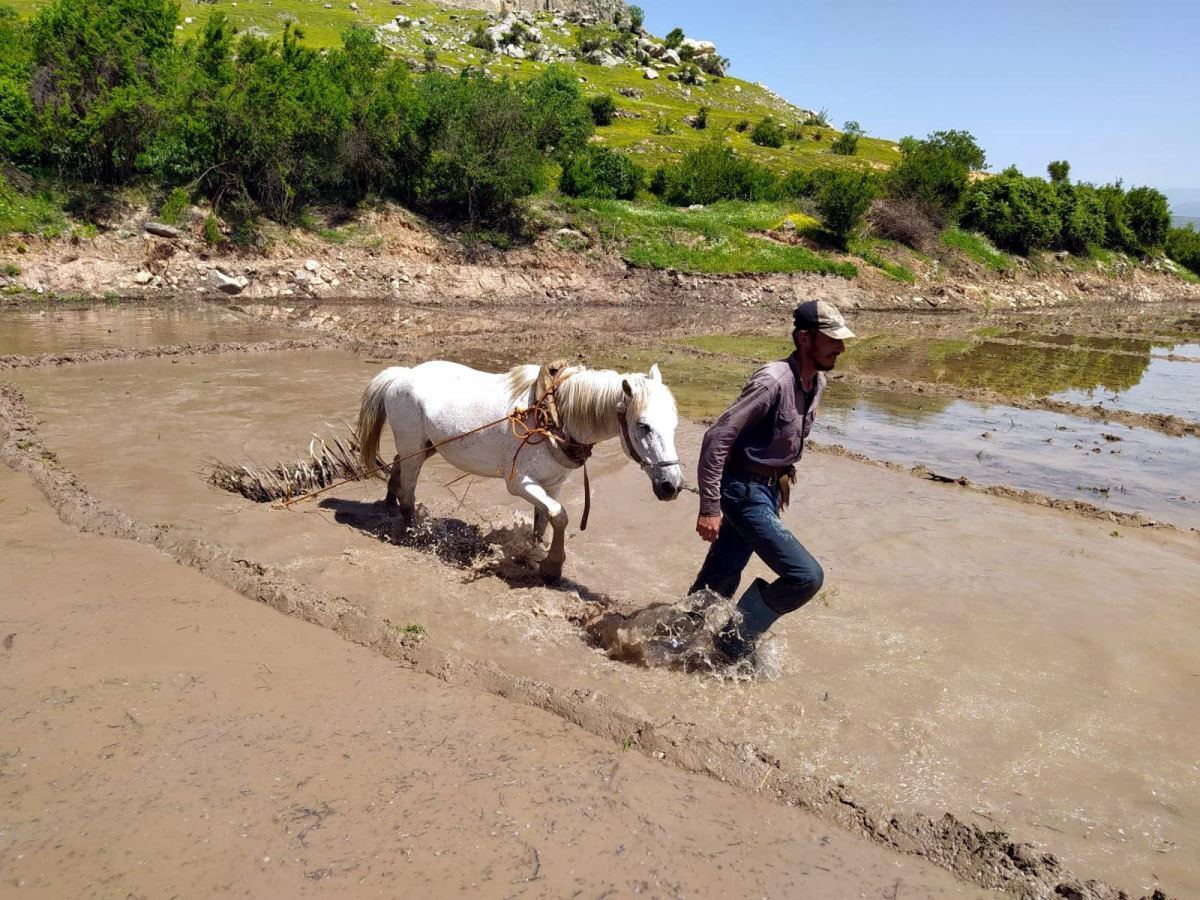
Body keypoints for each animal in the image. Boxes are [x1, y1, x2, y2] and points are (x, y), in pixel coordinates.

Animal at [352, 357, 686, 578]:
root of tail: (401, 376)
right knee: (408, 491)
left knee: (397, 470)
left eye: (674, 424)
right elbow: (560, 516)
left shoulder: (552, 484)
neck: (554, 416)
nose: (671, 485)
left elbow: (543, 522)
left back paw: (389, 504)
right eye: (643, 426)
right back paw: (413, 533)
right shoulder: (520, 483)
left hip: (424, 447)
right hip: (413, 448)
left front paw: (536, 553)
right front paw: (552, 566)